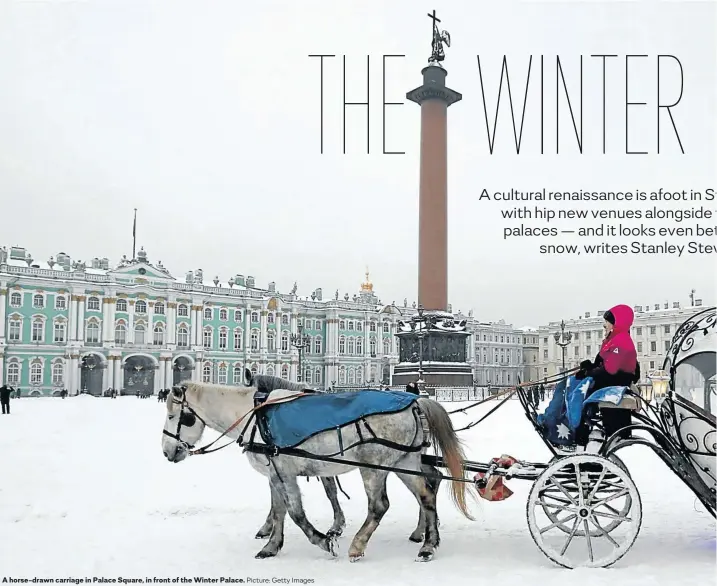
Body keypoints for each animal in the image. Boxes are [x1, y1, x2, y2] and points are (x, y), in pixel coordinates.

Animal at [162, 368, 472, 560]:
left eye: (173, 416)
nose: (167, 452)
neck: (255, 414)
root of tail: (416, 401)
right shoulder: (276, 473)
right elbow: (279, 511)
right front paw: (271, 545)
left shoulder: (286, 473)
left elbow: (297, 513)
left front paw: (324, 539)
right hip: (404, 460)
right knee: (427, 492)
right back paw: (428, 543)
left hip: (374, 467)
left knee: (380, 505)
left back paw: (358, 545)